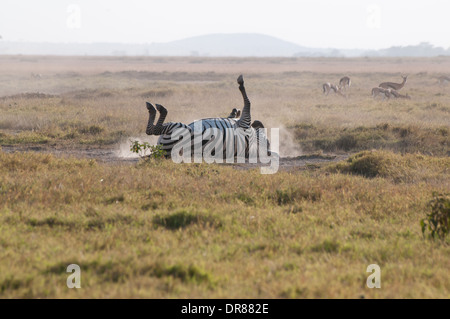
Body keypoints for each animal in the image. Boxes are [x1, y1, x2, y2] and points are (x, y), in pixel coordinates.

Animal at [146, 75, 276, 162]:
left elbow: (248, 102)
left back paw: (155, 108)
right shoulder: (243, 122)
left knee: (152, 130)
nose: (258, 122)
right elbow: (236, 113)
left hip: (181, 130)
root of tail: (164, 153)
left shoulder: (245, 123)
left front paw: (240, 83)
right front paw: (235, 111)